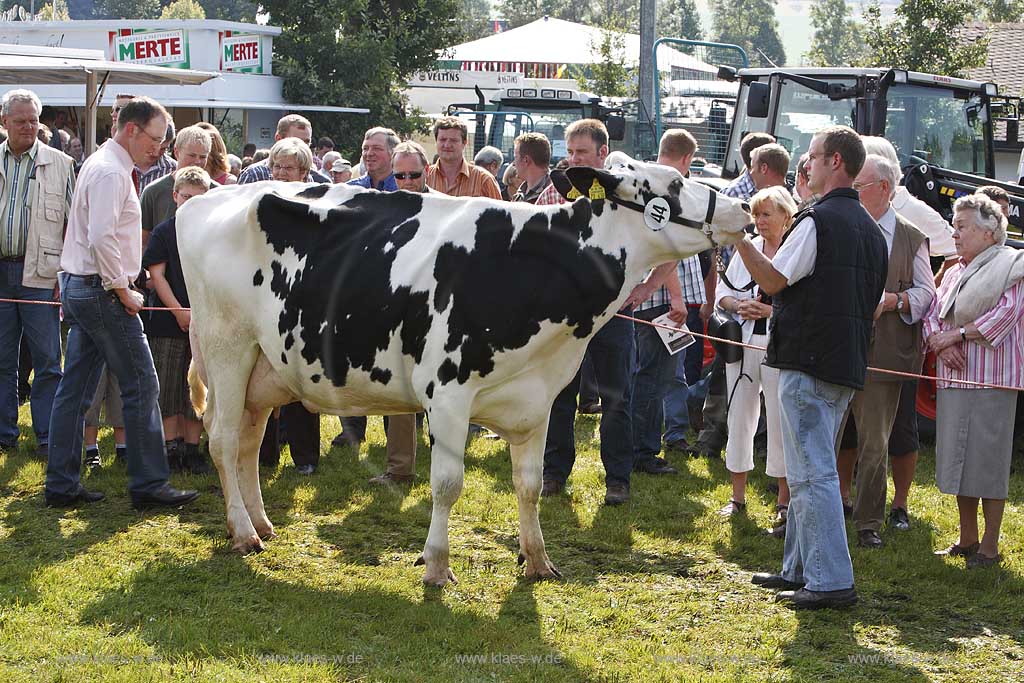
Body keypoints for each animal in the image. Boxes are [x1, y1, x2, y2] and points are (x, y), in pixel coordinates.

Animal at [178, 154, 753, 589]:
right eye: (672, 184)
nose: (743, 206)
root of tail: (205, 199)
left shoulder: (539, 398)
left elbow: (528, 485)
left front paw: (537, 560)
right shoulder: (448, 394)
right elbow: (447, 484)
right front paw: (435, 566)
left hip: (261, 367)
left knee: (249, 441)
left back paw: (261, 522)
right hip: (226, 347)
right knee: (223, 440)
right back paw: (243, 533)